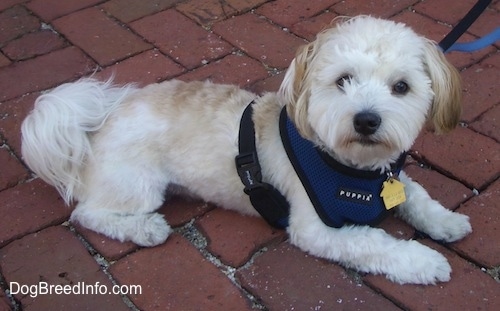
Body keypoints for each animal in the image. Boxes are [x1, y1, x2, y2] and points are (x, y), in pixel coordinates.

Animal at [21, 16, 470, 286]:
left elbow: (418, 196)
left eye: (401, 87)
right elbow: (374, 243)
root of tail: (100, 124)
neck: (350, 167)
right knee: (87, 213)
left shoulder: (391, 177)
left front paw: (446, 222)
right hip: (137, 185)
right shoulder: (317, 230)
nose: (366, 120)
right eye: (343, 80)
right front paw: (423, 262)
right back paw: (144, 229)